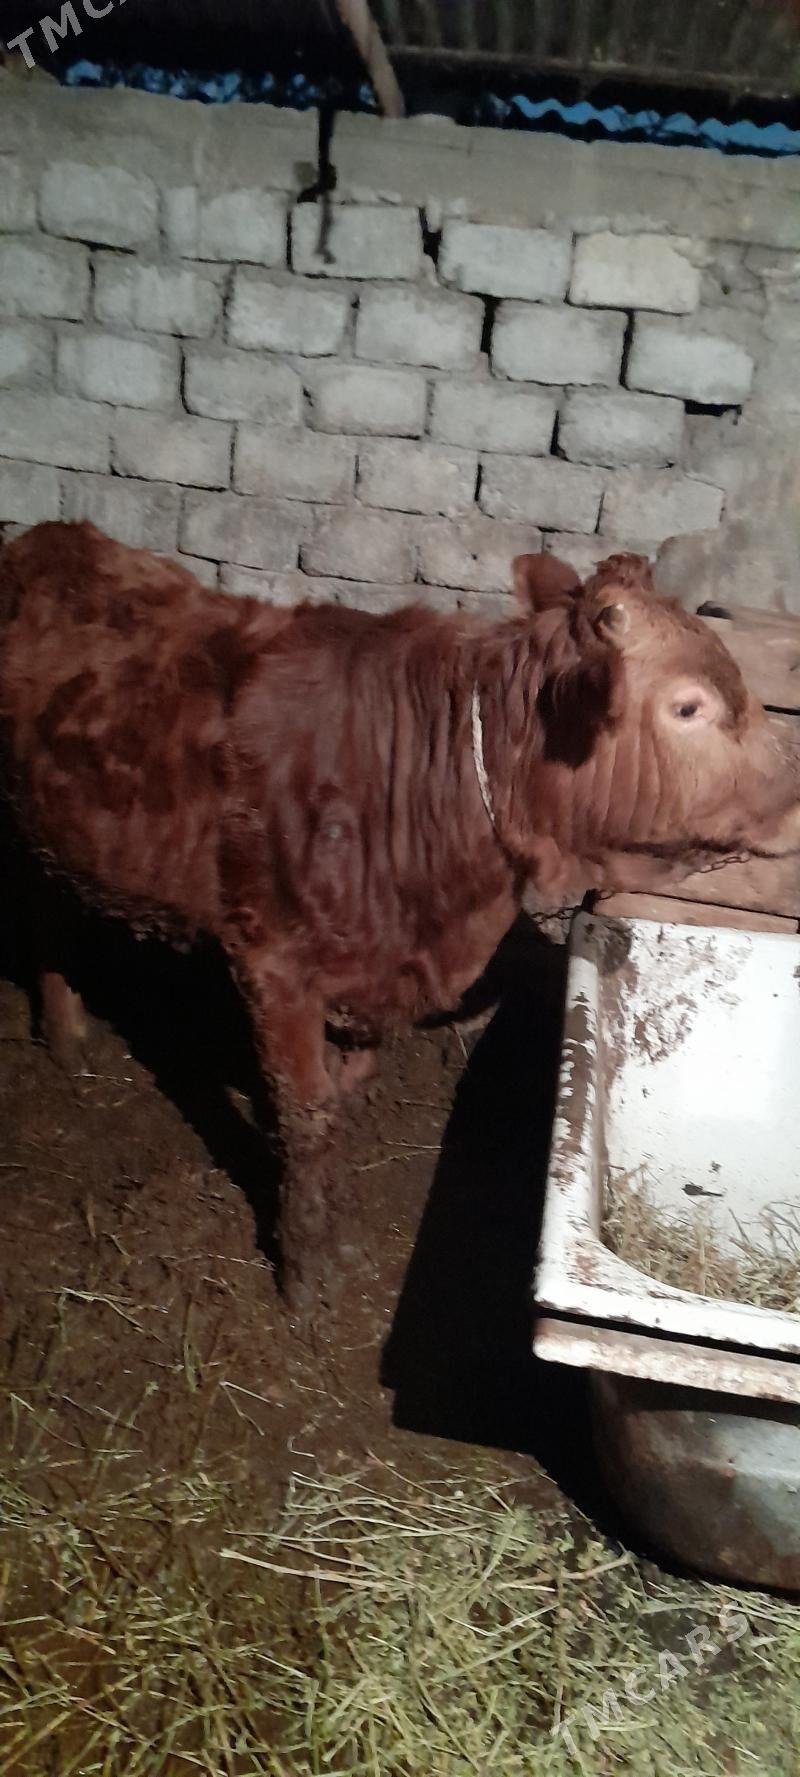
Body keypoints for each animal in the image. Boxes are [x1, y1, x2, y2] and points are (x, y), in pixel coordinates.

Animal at [0, 522, 798, 1317]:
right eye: (689, 707)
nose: (796, 793)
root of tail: (48, 536)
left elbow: (347, 1085)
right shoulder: (270, 962)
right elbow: (305, 1113)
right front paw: (306, 1267)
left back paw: (67, 1032)